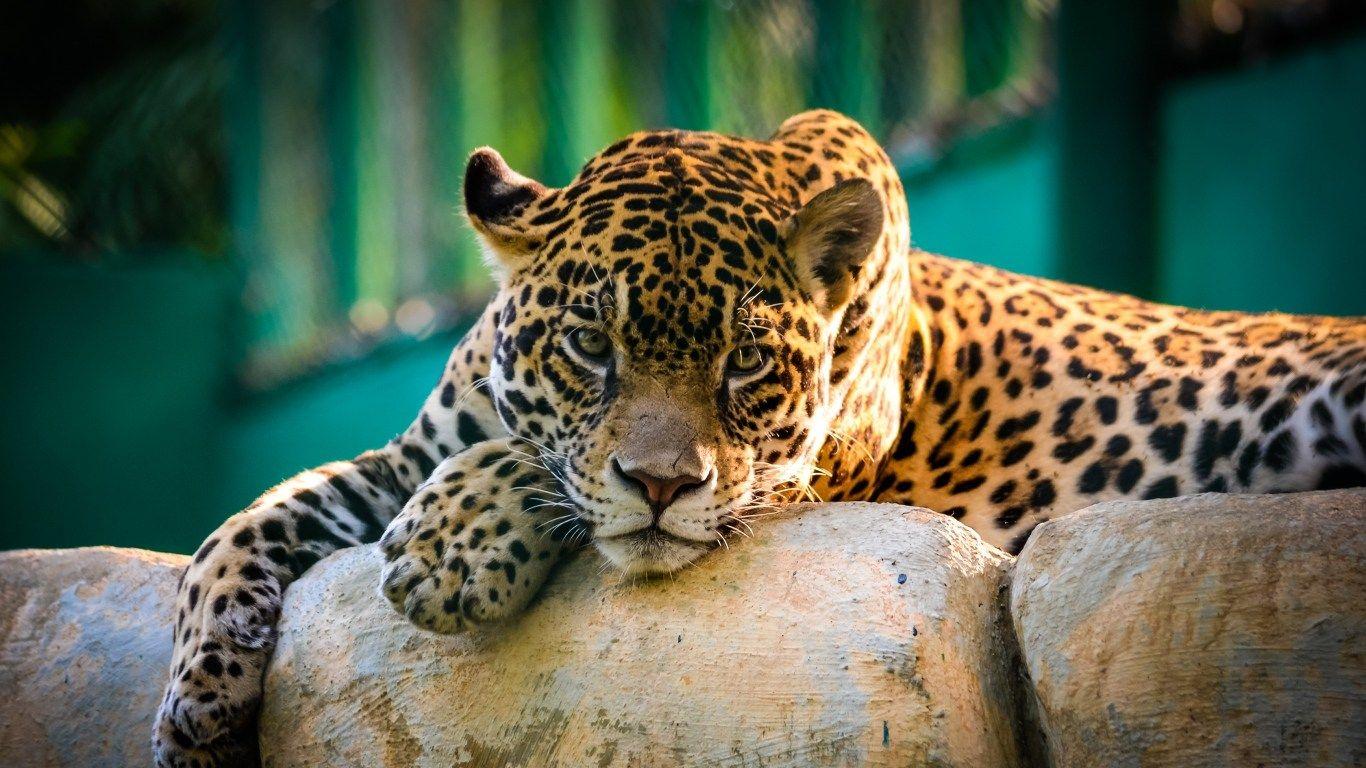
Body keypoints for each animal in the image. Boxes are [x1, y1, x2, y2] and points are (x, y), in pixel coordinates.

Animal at [153, 109, 1366, 766]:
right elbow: (244, 523)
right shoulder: (397, 459)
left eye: (744, 364)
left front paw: (450, 547)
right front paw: (196, 706)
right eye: (589, 345)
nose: (660, 485)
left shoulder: (802, 472)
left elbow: (530, 468)